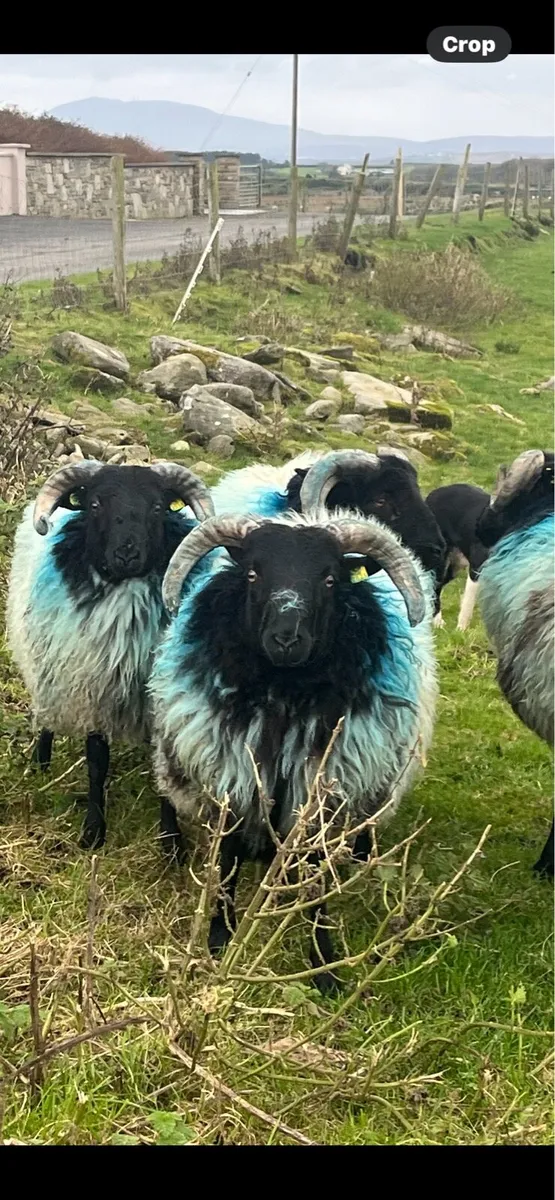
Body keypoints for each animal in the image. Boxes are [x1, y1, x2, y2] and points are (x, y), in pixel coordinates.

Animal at [6, 459, 214, 851]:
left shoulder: (158, 703)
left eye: (158, 507)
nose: (127, 555)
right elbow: (96, 763)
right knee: (46, 715)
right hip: (45, 662)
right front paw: (93, 831)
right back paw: (40, 764)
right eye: (95, 504)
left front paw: (171, 841)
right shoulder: (93, 689)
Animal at [149, 509, 438, 992]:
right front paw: (219, 939)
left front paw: (324, 963)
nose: (287, 638)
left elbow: (318, 883)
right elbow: (226, 866)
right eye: (252, 573)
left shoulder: (320, 795)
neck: (284, 698)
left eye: (330, 578)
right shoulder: (233, 781)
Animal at [426, 483, 491, 630]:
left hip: (455, 565)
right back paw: (438, 622)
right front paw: (461, 630)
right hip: (440, 561)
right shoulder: (476, 569)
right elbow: (468, 604)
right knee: (434, 587)